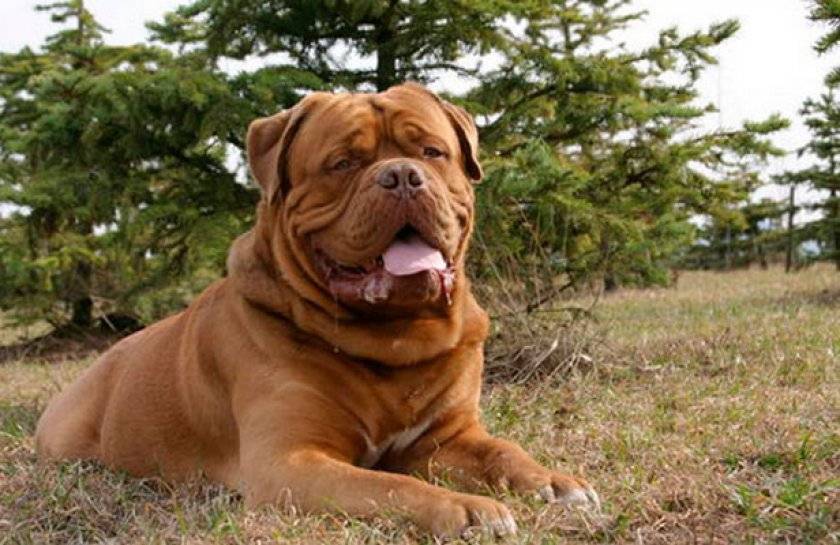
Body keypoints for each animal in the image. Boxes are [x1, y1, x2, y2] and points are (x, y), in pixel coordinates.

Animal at [35, 83, 598, 538]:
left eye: (432, 151)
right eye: (343, 162)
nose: (402, 175)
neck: (394, 336)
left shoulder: (446, 439)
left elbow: (501, 450)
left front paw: (553, 482)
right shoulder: (289, 462)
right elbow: (389, 486)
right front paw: (464, 508)